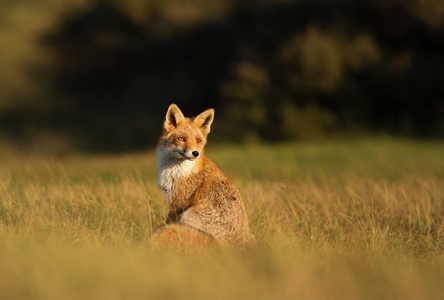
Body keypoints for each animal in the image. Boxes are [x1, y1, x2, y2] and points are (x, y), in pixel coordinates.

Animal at [153, 104, 253, 247]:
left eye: (198, 140)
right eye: (181, 139)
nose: (195, 153)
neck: (176, 170)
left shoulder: (178, 205)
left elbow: (167, 222)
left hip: (187, 216)